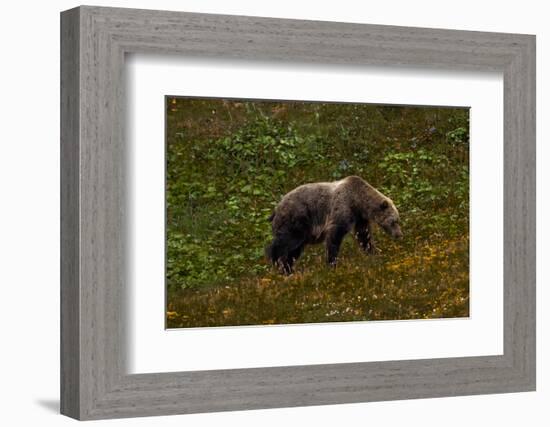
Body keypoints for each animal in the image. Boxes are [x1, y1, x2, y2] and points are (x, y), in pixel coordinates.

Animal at [266, 176, 404, 274]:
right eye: (394, 221)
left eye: (398, 220)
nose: (399, 234)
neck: (358, 202)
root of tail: (276, 208)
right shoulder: (343, 208)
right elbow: (335, 236)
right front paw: (332, 263)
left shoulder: (359, 218)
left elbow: (364, 236)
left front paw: (374, 253)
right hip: (296, 220)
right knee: (285, 242)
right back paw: (278, 264)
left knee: (294, 250)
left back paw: (290, 269)